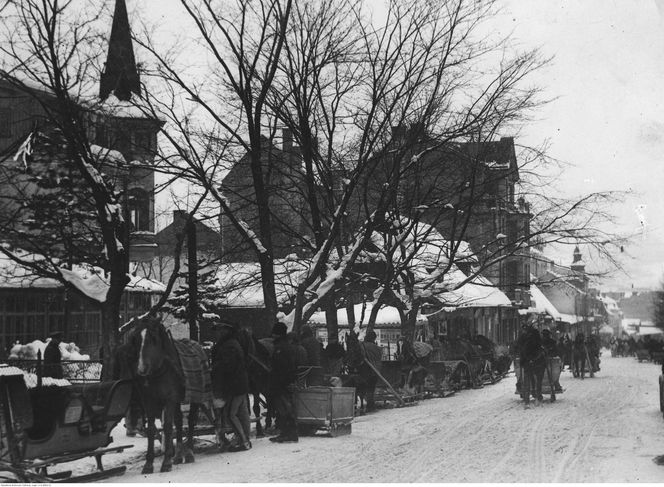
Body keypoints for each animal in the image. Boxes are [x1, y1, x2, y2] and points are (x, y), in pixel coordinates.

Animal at [132, 314, 218, 474]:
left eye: (153, 338)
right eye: (136, 338)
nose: (141, 369)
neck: (160, 370)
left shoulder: (169, 399)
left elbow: (167, 426)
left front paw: (166, 462)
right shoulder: (149, 401)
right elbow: (152, 428)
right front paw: (148, 464)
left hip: (195, 396)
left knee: (190, 421)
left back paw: (189, 453)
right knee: (178, 422)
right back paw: (178, 455)